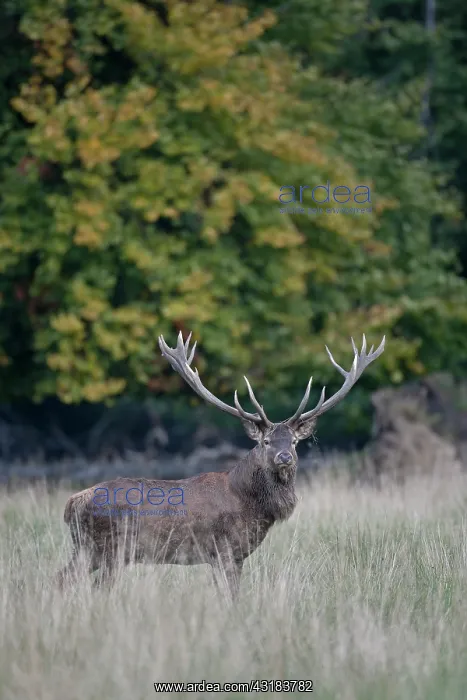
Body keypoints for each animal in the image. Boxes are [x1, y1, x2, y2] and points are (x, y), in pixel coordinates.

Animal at [57, 331, 385, 598]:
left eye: (294, 442)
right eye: (266, 442)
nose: (285, 458)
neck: (252, 505)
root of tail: (73, 501)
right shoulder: (225, 549)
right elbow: (232, 597)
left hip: (88, 549)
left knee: (62, 577)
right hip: (109, 548)